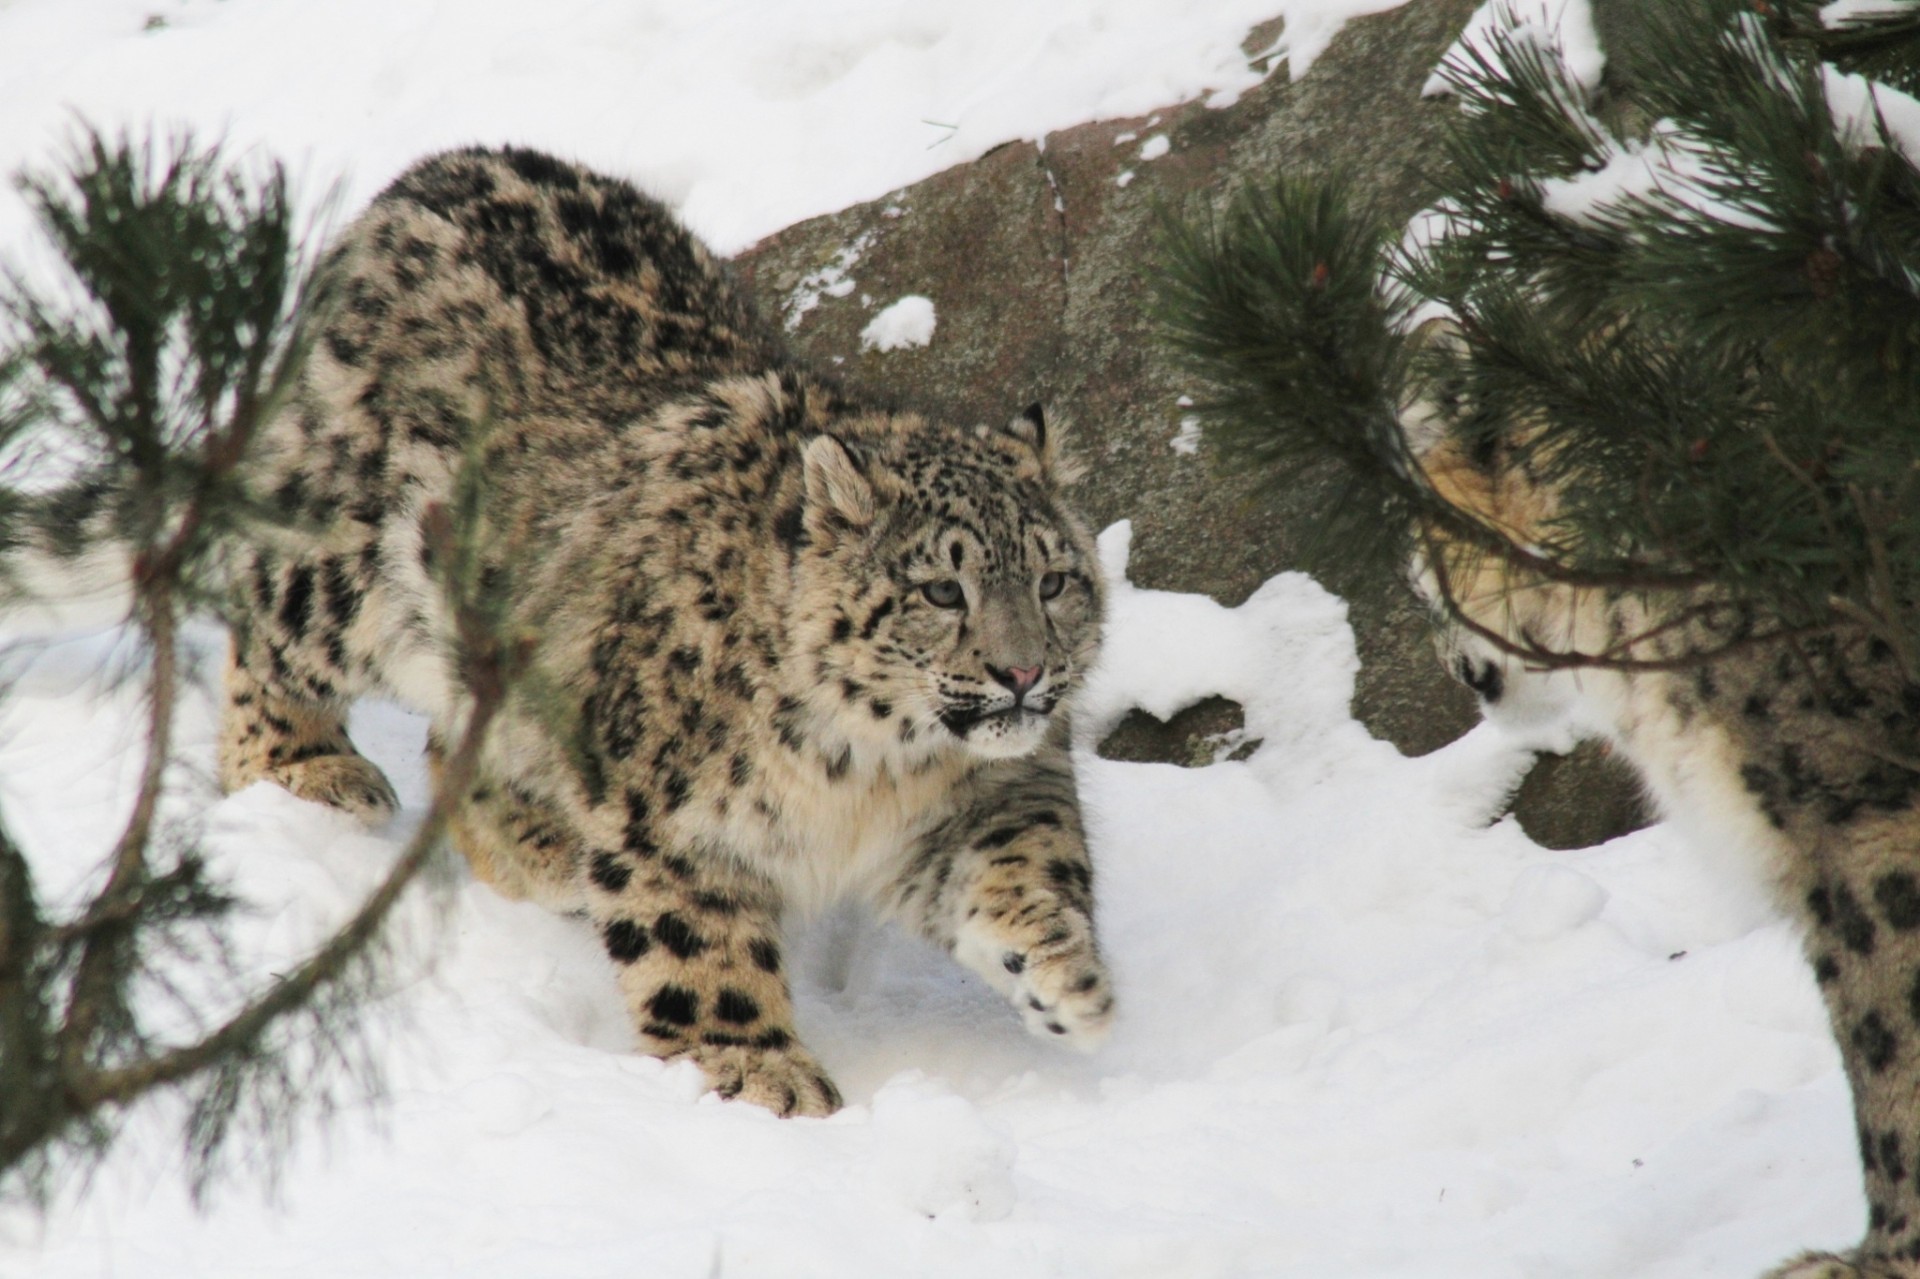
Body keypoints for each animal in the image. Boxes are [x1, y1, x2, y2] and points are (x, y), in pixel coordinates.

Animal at [211, 145, 1114, 1116]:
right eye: (944, 589)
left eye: (1055, 579)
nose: (1024, 674)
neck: (874, 771)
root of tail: (425, 175)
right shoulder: (672, 817)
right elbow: (700, 943)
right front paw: (760, 1069)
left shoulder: (995, 789)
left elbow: (1029, 854)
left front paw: (1067, 977)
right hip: (345, 571)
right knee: (262, 608)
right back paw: (303, 769)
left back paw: (548, 854)